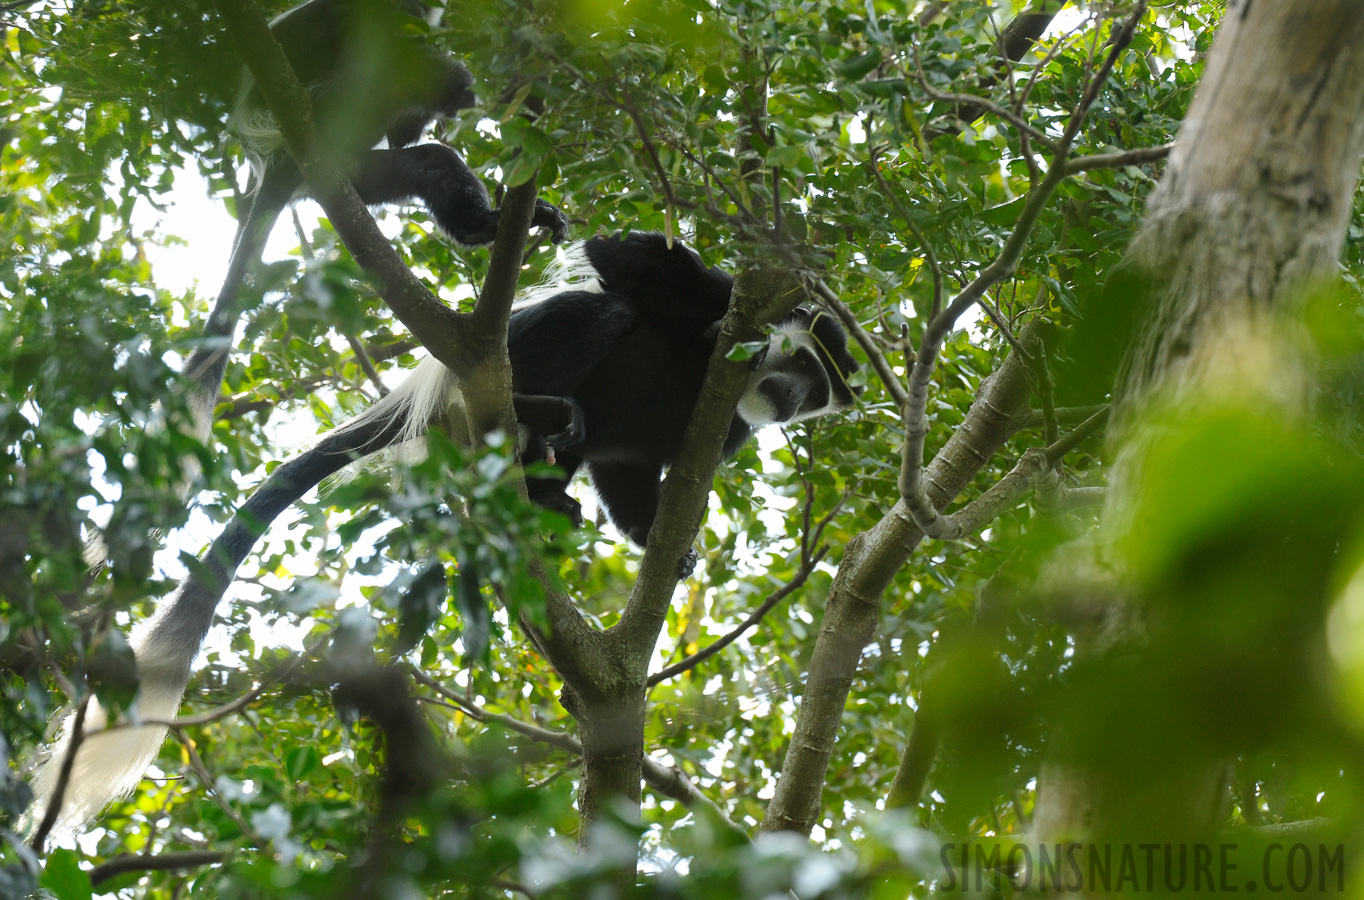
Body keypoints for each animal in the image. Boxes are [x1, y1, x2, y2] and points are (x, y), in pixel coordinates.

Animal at [32, 230, 856, 829]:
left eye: (819, 394)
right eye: (812, 367)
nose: (792, 401)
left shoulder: (722, 436)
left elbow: (631, 473)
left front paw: (671, 549)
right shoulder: (714, 294)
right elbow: (624, 259)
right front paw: (713, 322)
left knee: (584, 442)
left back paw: (545, 495)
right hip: (497, 362)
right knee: (603, 318)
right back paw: (536, 411)